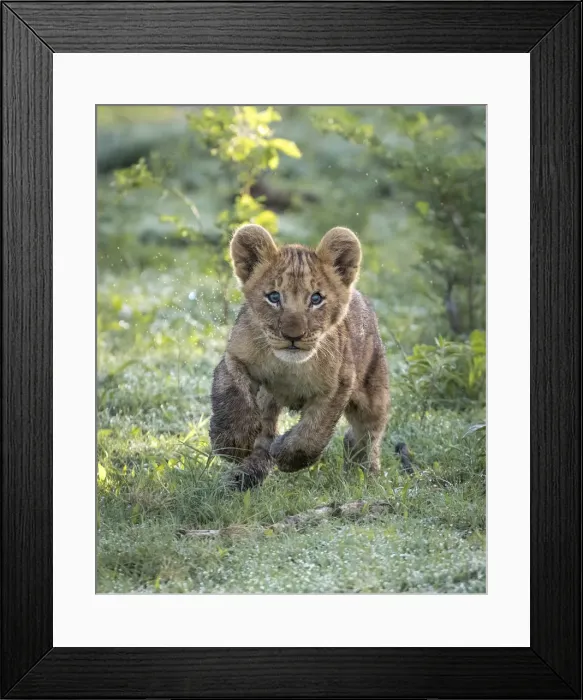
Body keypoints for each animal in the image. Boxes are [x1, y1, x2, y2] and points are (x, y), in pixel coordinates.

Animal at [209, 224, 390, 490]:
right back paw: (247, 476)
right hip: (267, 399)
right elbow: (233, 393)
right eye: (274, 297)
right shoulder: (235, 357)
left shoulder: (339, 384)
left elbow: (313, 433)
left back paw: (367, 473)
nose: (293, 335)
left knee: (367, 433)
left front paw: (287, 457)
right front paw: (233, 442)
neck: (289, 367)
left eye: (316, 299)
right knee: (264, 435)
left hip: (373, 393)